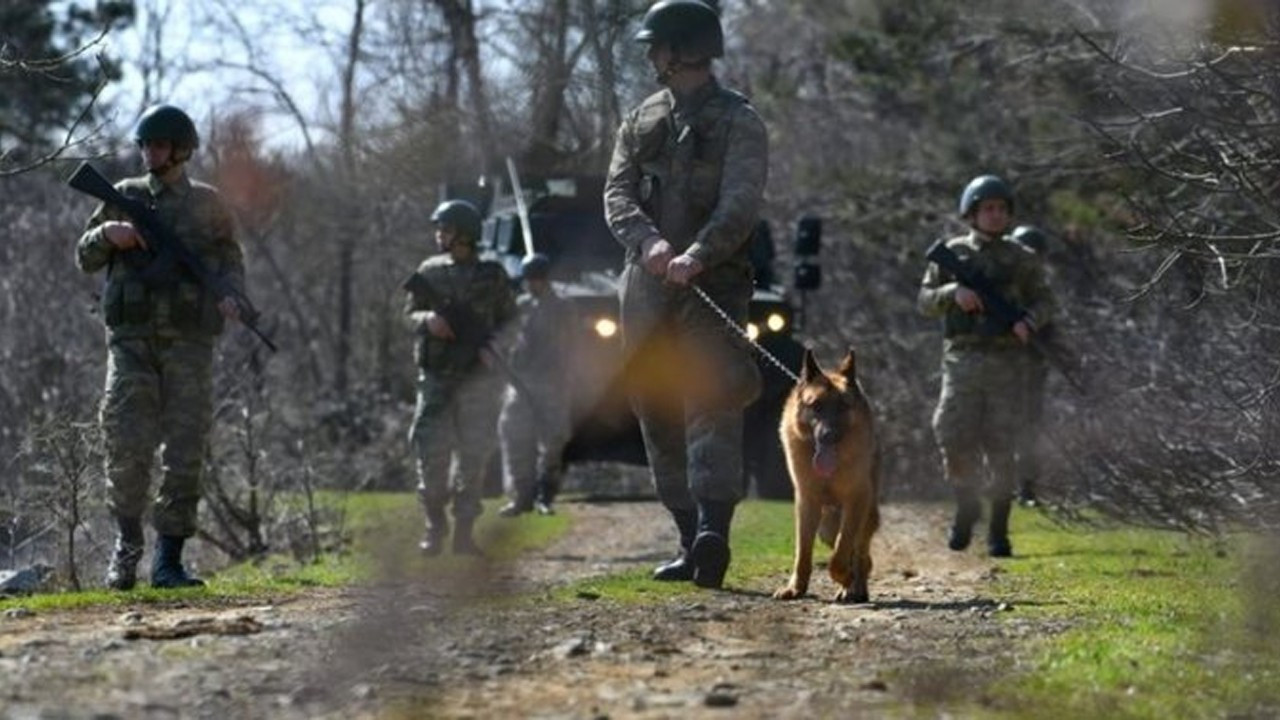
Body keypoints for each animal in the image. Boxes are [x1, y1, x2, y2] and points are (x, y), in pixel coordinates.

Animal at [768, 348, 880, 599]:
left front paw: (846, 578)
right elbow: (802, 551)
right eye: (816, 405)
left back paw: (855, 587)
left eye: (843, 406)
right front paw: (796, 588)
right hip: (826, 527)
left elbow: (841, 553)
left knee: (861, 555)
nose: (829, 435)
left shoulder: (856, 500)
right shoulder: (806, 502)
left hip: (863, 515)